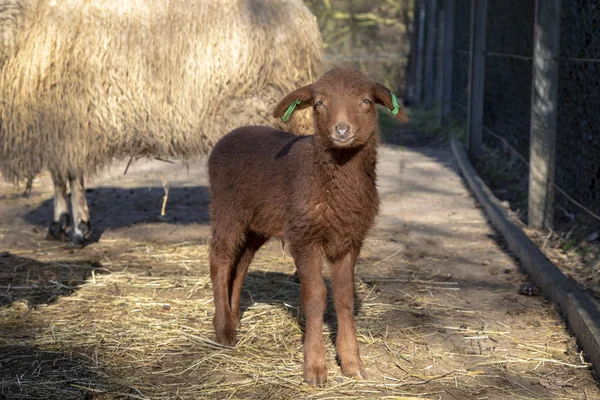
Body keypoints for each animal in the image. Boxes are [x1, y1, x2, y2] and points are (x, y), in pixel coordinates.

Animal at [209, 67, 410, 386]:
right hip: (227, 209)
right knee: (220, 260)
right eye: (318, 104)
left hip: (258, 223)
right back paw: (224, 330)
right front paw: (315, 368)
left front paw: (352, 363)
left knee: (240, 264)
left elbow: (344, 298)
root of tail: (229, 135)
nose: (341, 130)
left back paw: (235, 316)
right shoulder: (305, 236)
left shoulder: (350, 240)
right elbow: (316, 296)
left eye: (366, 101)